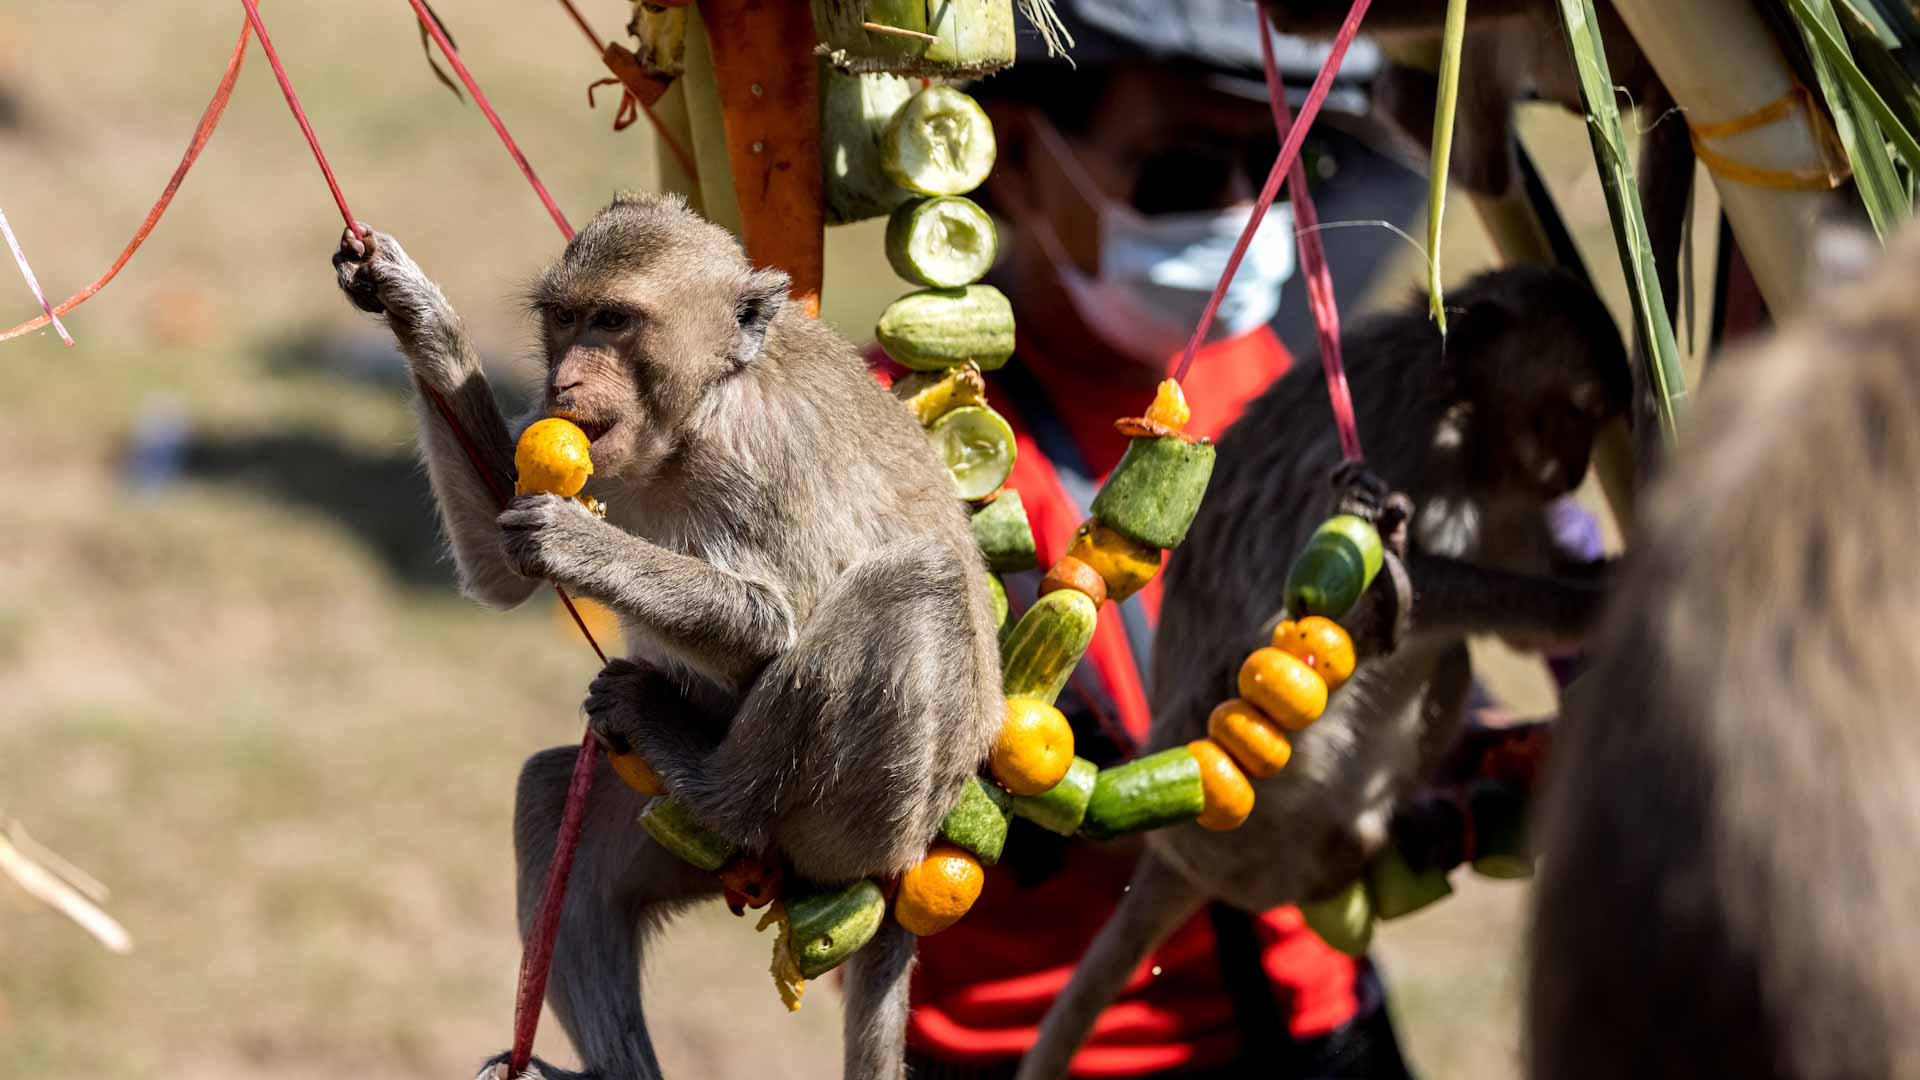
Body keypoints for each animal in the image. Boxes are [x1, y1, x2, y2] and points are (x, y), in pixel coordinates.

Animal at [329, 191, 1003, 1080]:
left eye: (615, 321)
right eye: (566, 318)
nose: (567, 379)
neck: (695, 416)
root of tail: (908, 861)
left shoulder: (760, 455)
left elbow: (776, 622)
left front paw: (578, 545)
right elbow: (500, 574)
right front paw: (416, 313)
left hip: (857, 823)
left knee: (914, 584)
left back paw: (714, 785)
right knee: (551, 798)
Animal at [1015, 266, 1631, 1079]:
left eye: (1593, 425)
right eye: (1575, 415)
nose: (1577, 469)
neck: (1463, 413)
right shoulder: (1414, 446)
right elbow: (1410, 580)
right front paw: (1593, 604)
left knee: (1442, 657)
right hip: (1240, 810)